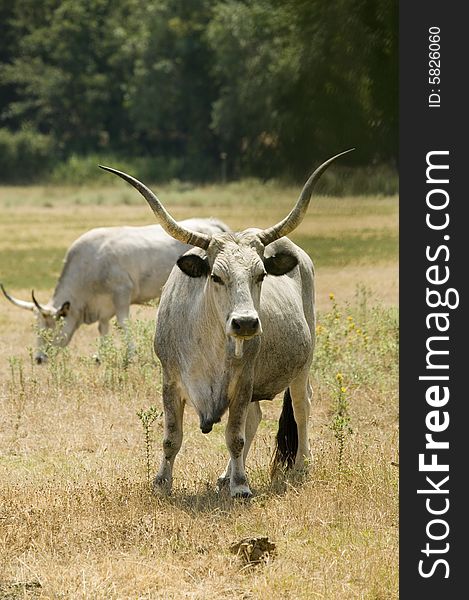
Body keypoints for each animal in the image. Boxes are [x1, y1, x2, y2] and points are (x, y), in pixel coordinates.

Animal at [0, 218, 229, 364]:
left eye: (50, 327)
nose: (39, 359)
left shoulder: (121, 293)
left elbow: (123, 323)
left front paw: (131, 355)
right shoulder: (104, 306)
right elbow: (103, 328)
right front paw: (100, 356)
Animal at [100, 150, 352, 496]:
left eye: (261, 274)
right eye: (216, 276)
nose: (245, 323)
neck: (208, 345)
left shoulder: (244, 381)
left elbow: (235, 435)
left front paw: (241, 486)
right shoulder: (169, 379)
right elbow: (171, 437)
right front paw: (162, 483)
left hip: (302, 364)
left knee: (302, 407)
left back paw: (300, 467)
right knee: (257, 416)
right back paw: (225, 475)